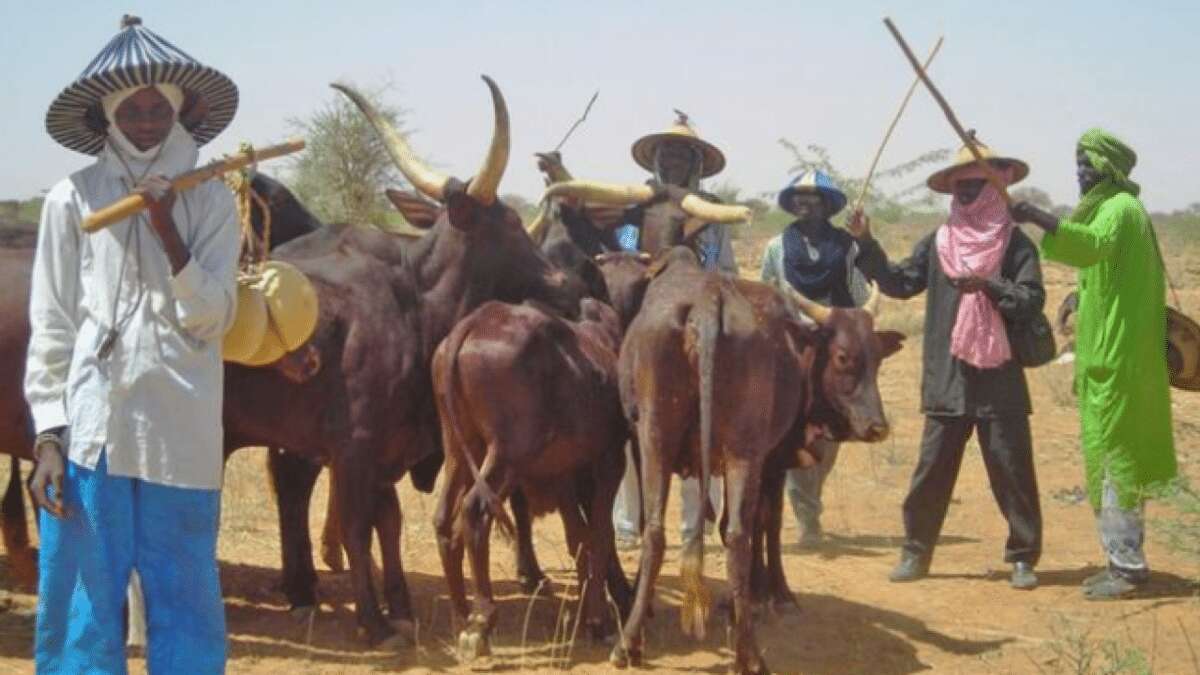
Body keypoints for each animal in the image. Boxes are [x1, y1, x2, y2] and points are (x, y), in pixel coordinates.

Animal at [609, 247, 902, 672]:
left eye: (878, 358)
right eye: (843, 357)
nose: (877, 426)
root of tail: (707, 301)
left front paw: (750, 597)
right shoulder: (774, 460)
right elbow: (771, 522)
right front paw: (774, 593)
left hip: (665, 442)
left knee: (683, 533)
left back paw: (645, 639)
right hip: (719, 451)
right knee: (734, 533)